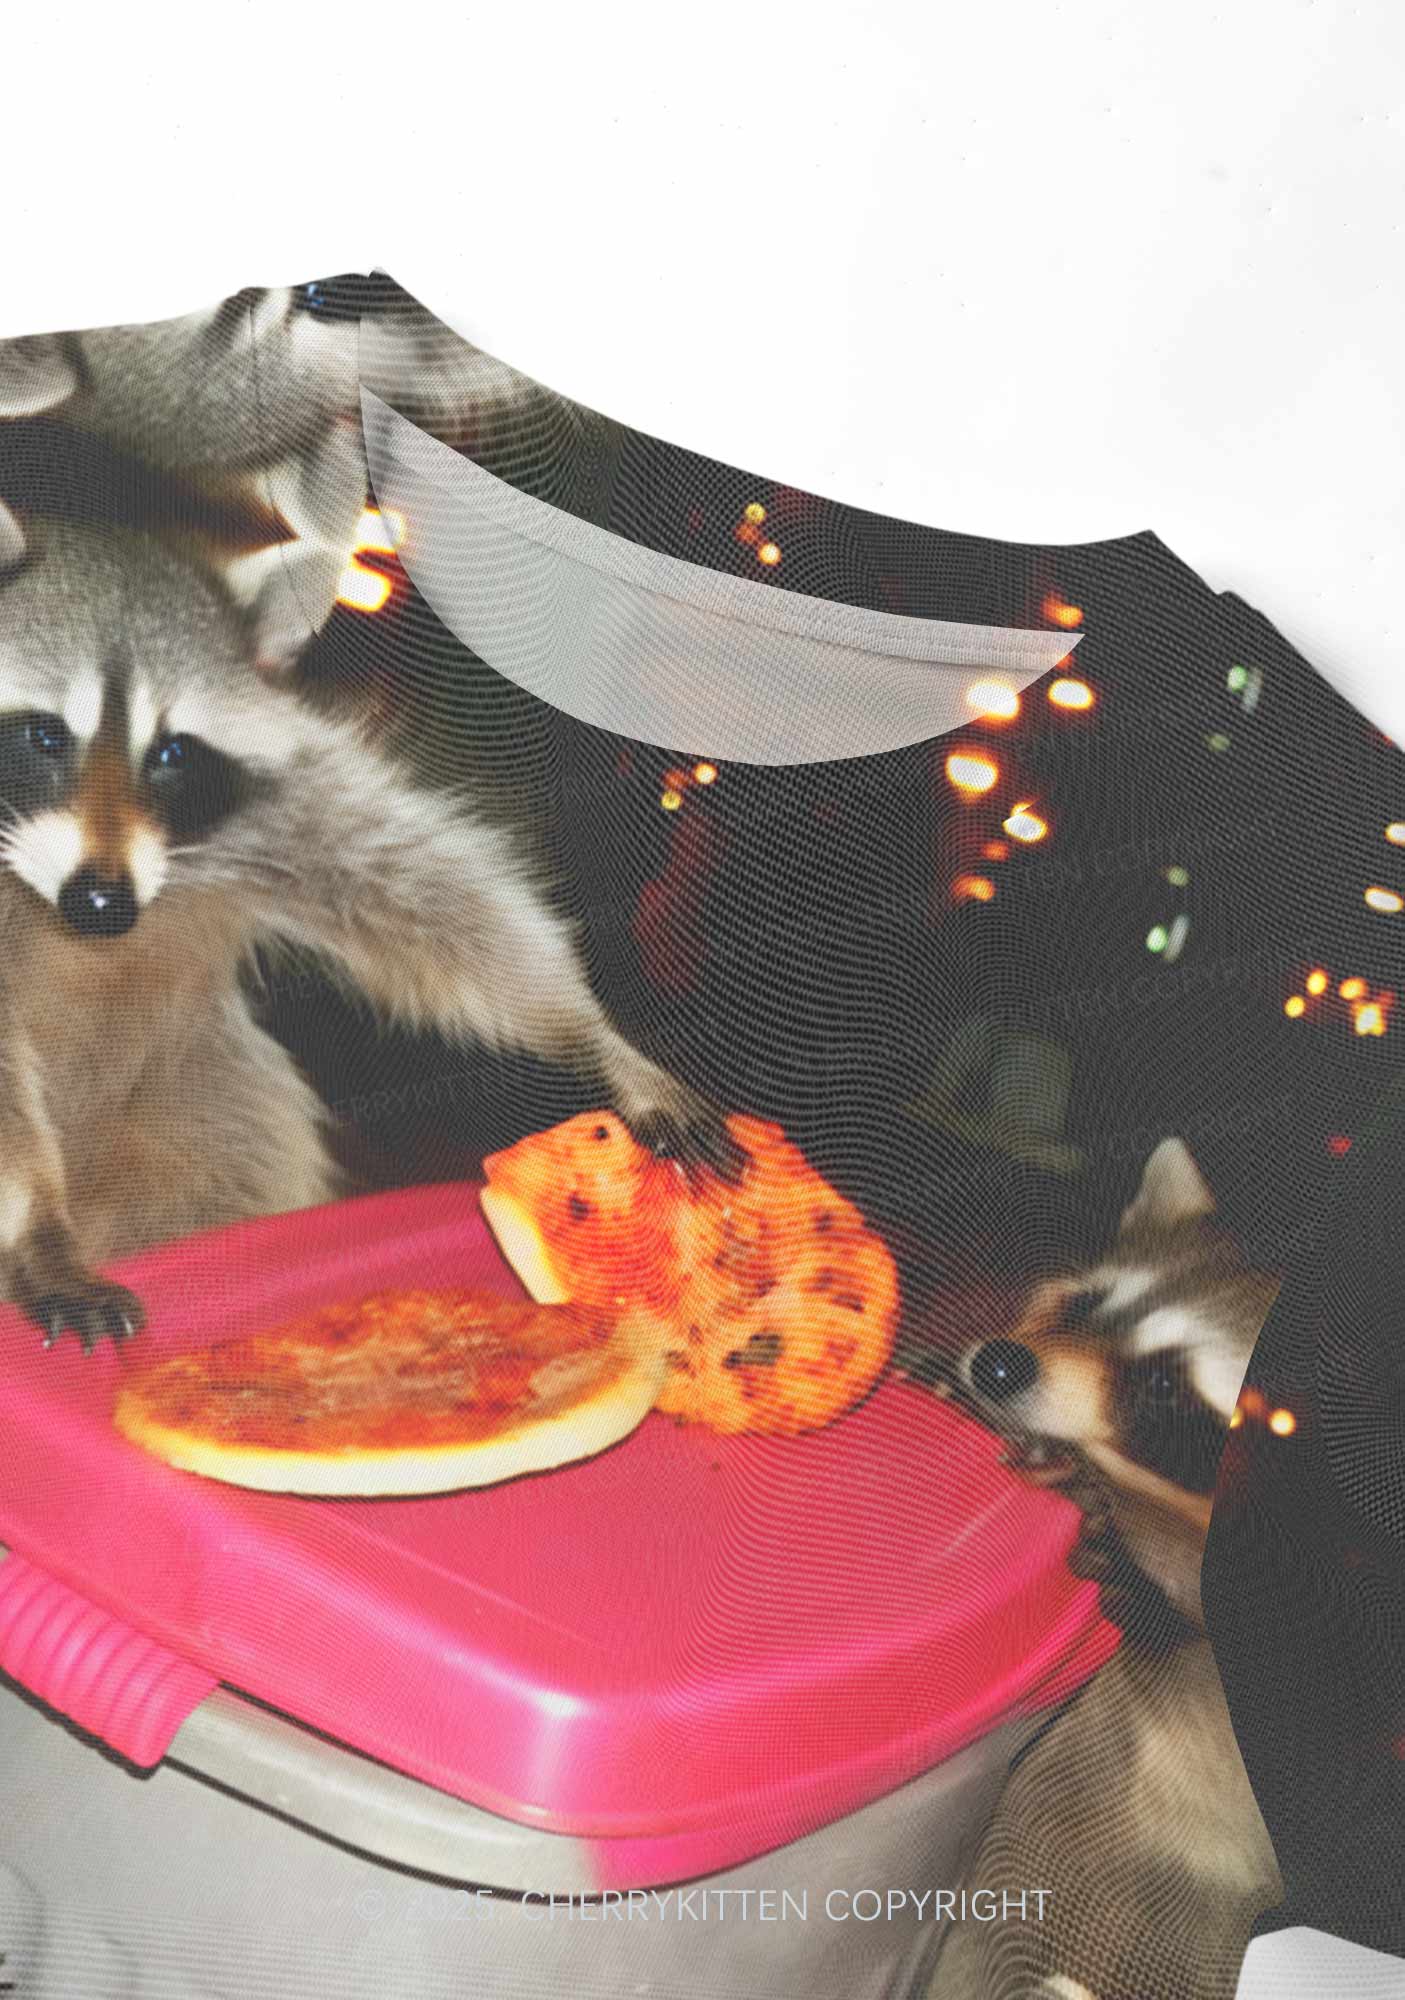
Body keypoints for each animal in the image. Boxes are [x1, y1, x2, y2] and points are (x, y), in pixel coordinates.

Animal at [0, 513, 733, 1352]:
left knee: (229, 1165)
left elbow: (429, 896)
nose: (101, 906)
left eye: (171, 752)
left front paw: (593, 1039)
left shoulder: (280, 794)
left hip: (191, 1097)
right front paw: (38, 1228)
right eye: (45, 736)